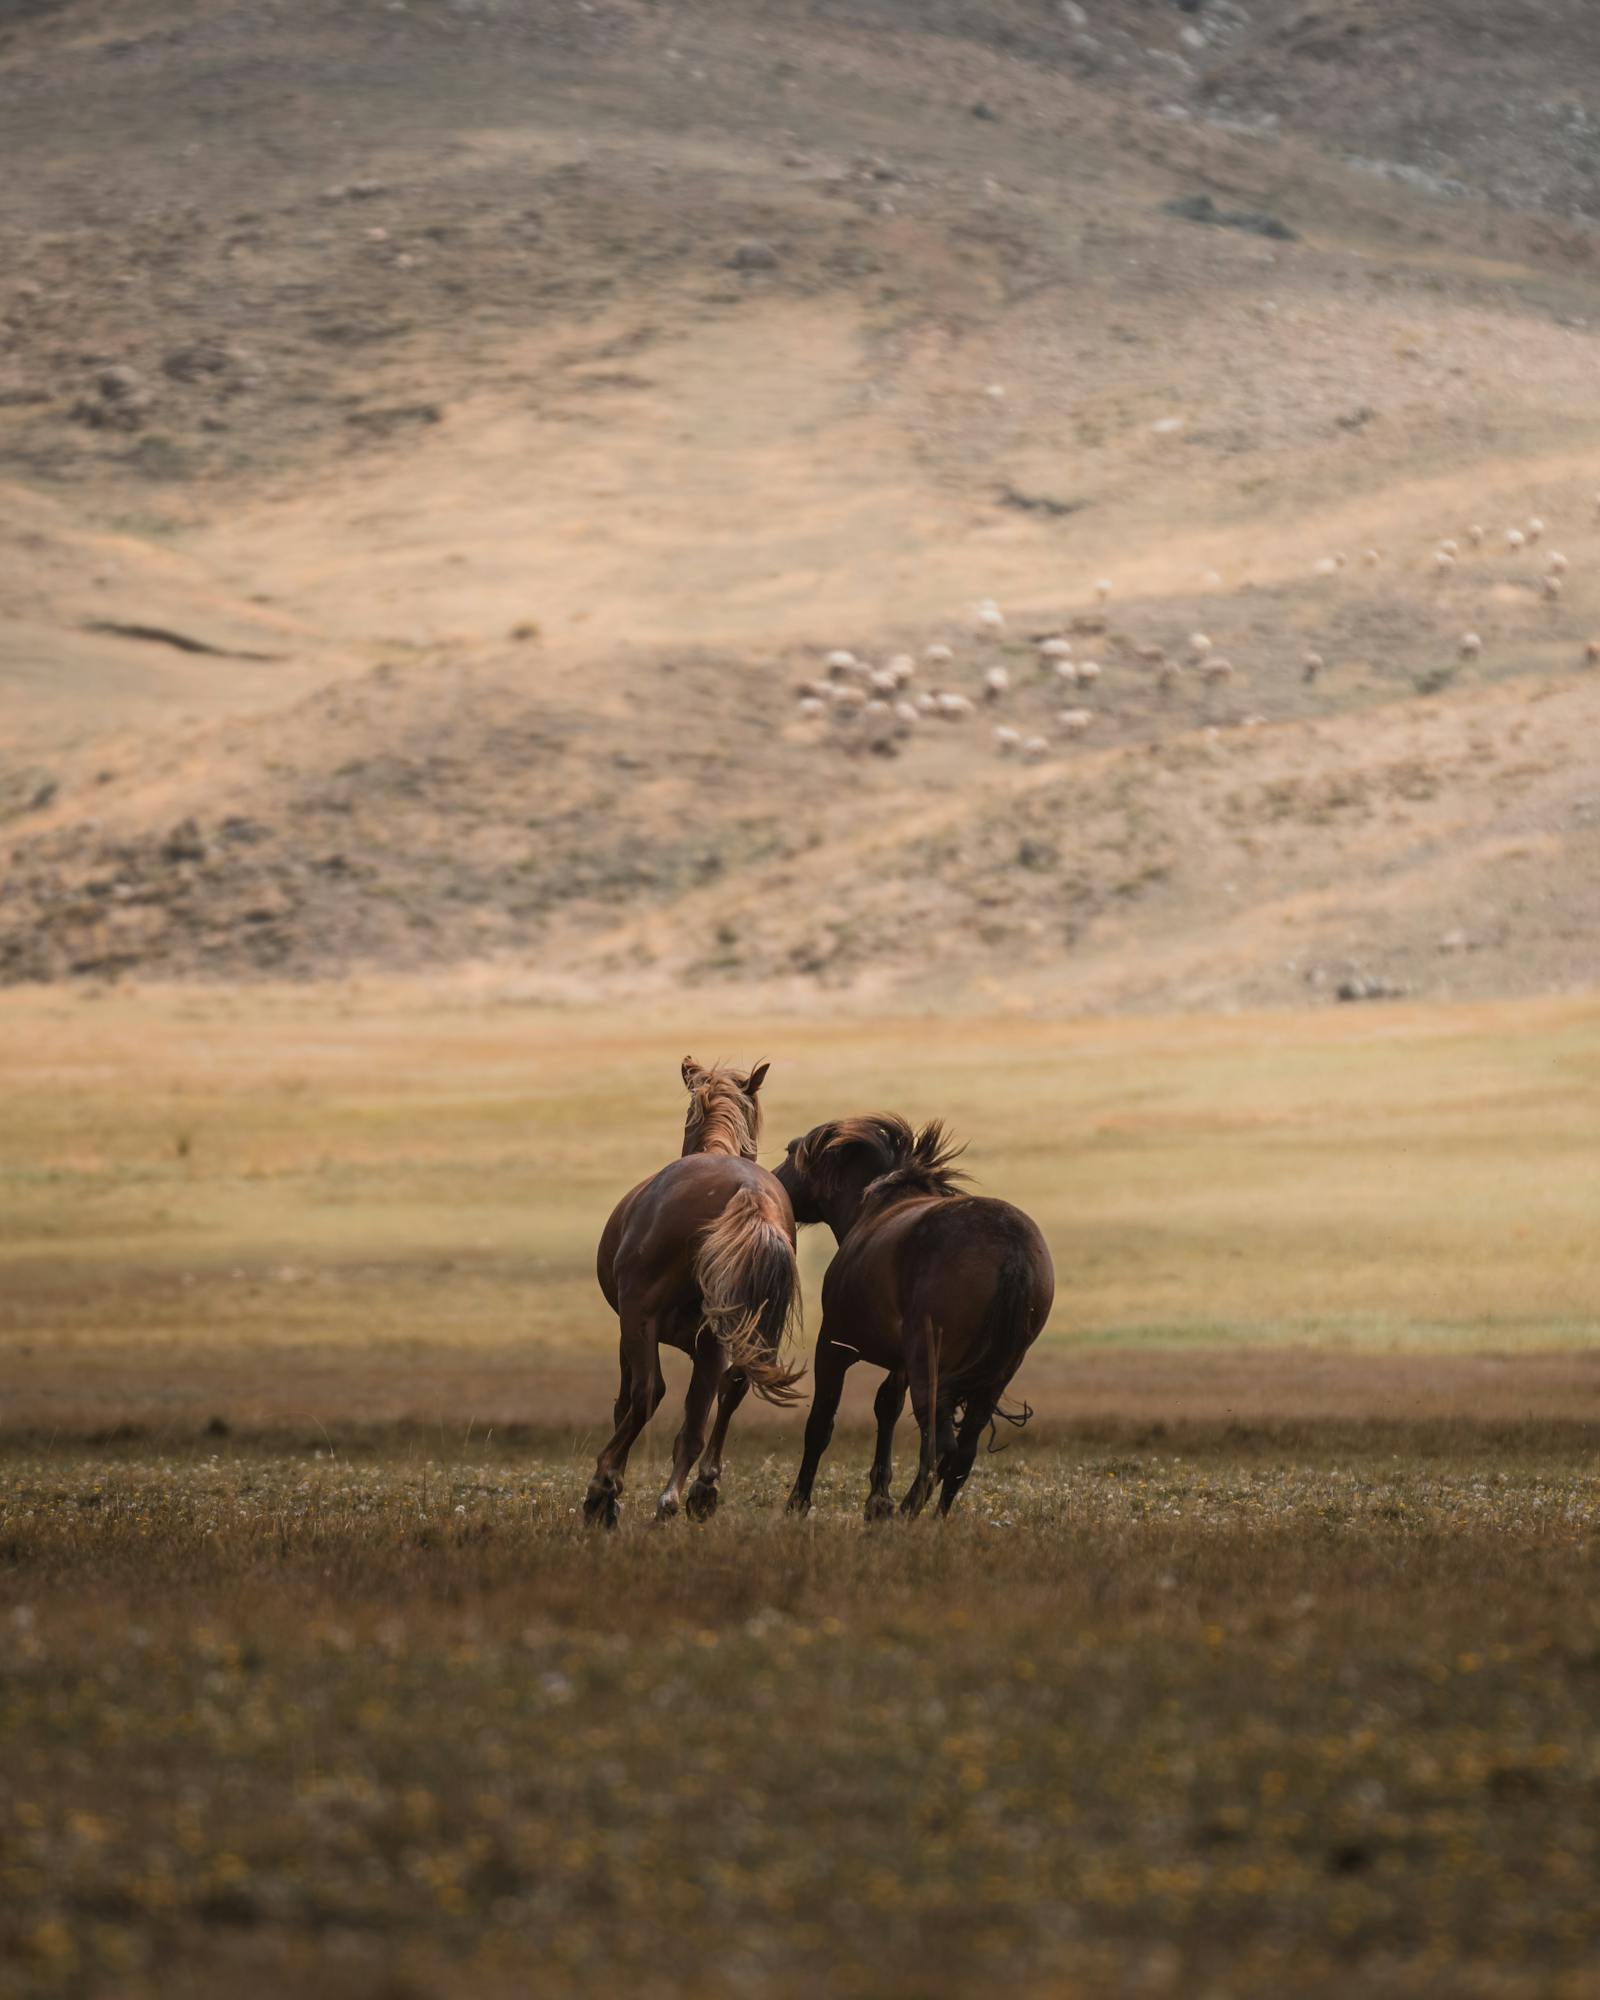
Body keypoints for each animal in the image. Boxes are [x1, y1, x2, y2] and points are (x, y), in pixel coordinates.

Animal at [588, 1064, 808, 1528]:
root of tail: (747, 1191)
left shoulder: (628, 1329)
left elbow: (626, 1402)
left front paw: (612, 1492)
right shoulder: (713, 1341)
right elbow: (704, 1410)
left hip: (640, 1320)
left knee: (647, 1394)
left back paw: (602, 1488)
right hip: (740, 1332)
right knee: (723, 1395)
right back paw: (688, 1494)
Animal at [772, 1120, 1048, 1520]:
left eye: (790, 1152)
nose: (774, 1185)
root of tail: (1013, 1250)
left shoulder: (834, 1345)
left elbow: (821, 1422)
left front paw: (798, 1503)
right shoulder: (900, 1362)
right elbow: (886, 1407)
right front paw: (877, 1499)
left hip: (928, 1367)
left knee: (941, 1446)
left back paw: (906, 1513)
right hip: (996, 1375)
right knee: (963, 1454)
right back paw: (934, 1519)